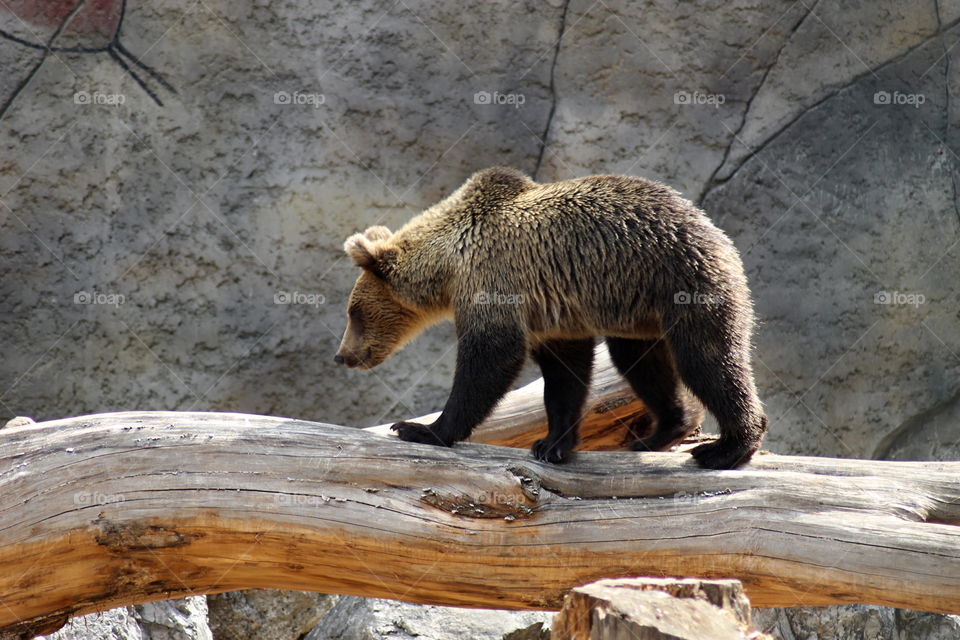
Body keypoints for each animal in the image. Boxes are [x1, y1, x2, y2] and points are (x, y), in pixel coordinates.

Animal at [334, 167, 767, 470]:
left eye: (354, 313)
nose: (342, 355)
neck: (450, 264)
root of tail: (718, 235)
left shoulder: (495, 278)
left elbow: (491, 356)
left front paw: (422, 428)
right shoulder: (552, 311)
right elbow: (564, 376)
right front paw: (553, 443)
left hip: (681, 282)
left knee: (708, 360)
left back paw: (727, 448)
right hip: (638, 311)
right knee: (642, 363)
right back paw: (657, 434)